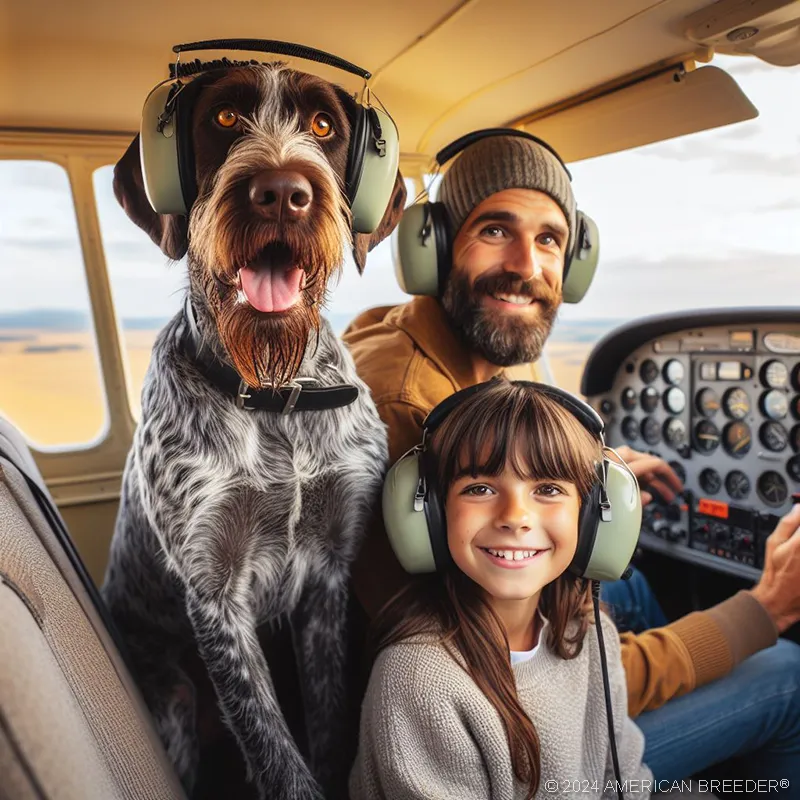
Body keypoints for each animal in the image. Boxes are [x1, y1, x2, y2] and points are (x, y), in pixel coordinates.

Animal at [104, 62, 406, 800]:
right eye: (223, 118)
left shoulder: (329, 575)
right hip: (175, 698)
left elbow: (327, 720)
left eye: (323, 125)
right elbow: (272, 746)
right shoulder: (215, 595)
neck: (275, 398)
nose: (281, 194)